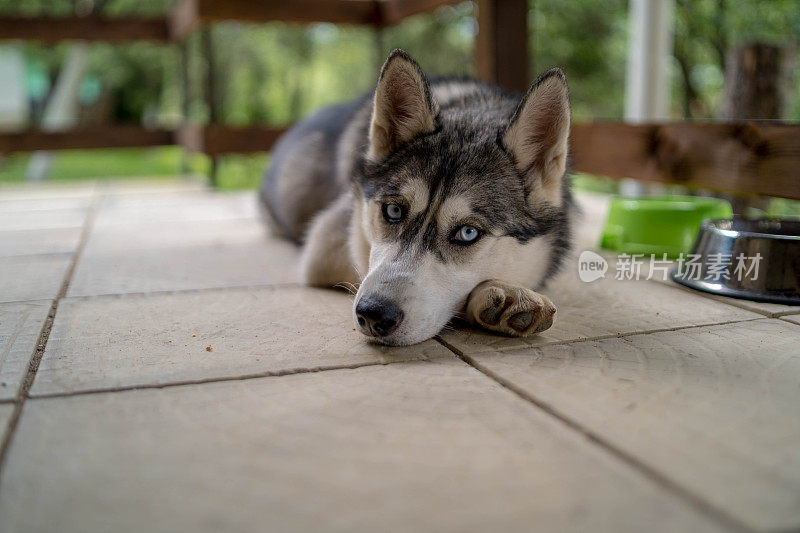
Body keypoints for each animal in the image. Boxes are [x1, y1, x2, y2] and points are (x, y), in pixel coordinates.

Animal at [262, 48, 576, 344]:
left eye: (468, 233)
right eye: (393, 211)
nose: (373, 314)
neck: (474, 108)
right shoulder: (325, 243)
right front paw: (498, 295)